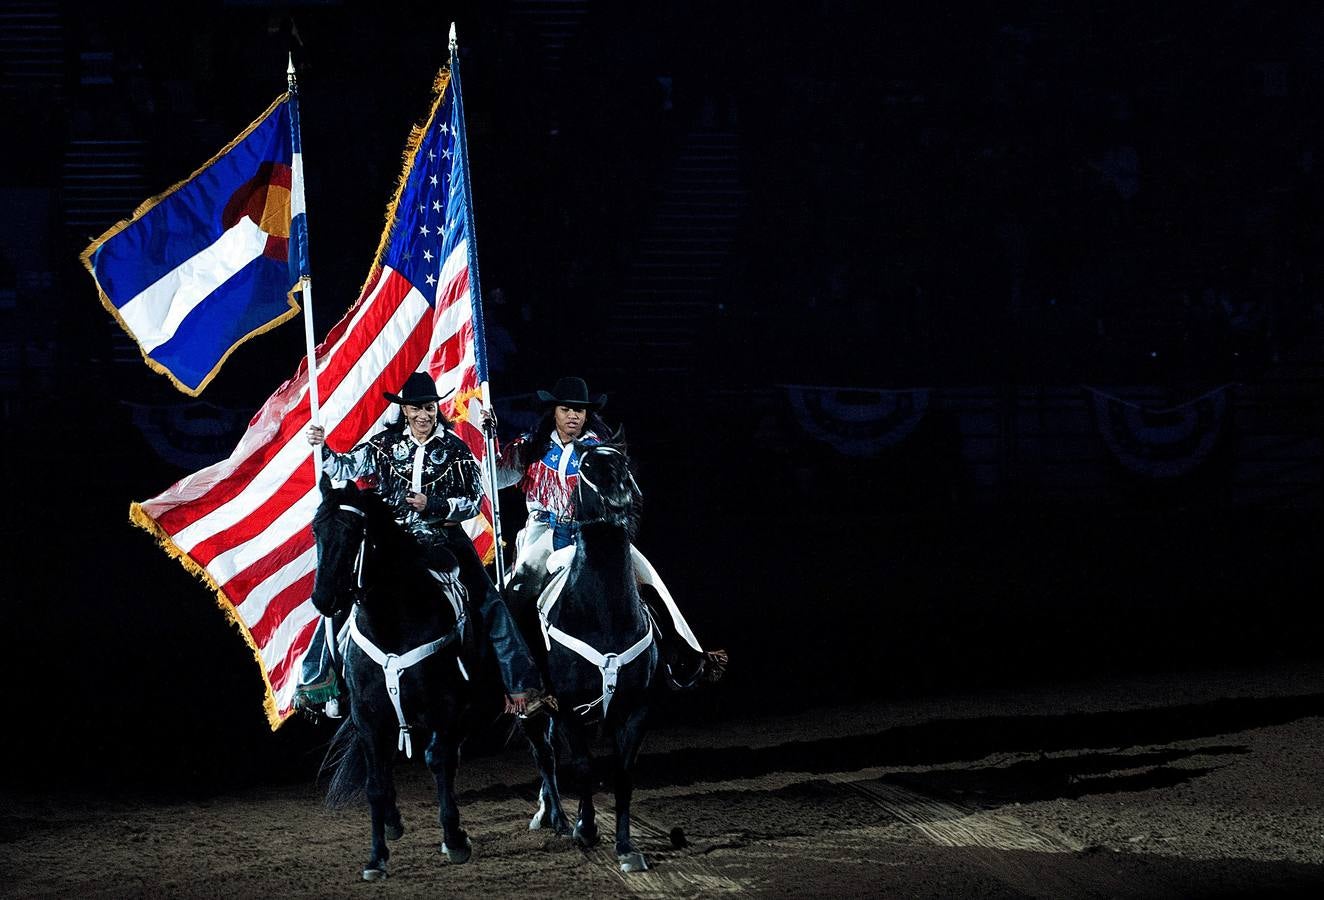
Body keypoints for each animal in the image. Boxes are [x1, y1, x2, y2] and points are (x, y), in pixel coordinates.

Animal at [309, 481, 476, 884]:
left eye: (355, 532)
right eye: (316, 530)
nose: (323, 599)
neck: (391, 623)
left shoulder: (444, 708)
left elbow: (438, 760)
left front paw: (454, 838)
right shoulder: (367, 715)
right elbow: (375, 783)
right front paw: (376, 855)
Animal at [519, 442, 659, 873]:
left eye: (624, 462)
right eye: (586, 466)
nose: (620, 498)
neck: (604, 615)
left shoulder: (636, 709)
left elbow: (623, 772)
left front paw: (626, 847)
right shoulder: (568, 706)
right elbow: (581, 765)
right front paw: (585, 828)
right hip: (531, 707)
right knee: (544, 754)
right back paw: (557, 819)